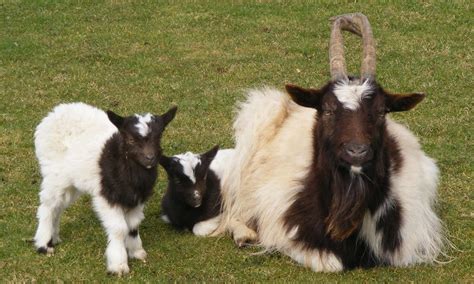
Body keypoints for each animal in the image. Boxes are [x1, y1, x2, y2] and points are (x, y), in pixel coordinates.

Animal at [32, 102, 176, 276]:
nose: (150, 158)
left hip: (71, 182)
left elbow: (133, 225)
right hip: (54, 175)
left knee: (57, 207)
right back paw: (43, 244)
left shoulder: (136, 198)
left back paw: (54, 238)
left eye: (159, 137)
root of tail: (53, 115)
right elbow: (119, 228)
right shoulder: (107, 196)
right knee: (48, 206)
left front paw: (136, 251)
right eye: (130, 139)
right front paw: (119, 265)